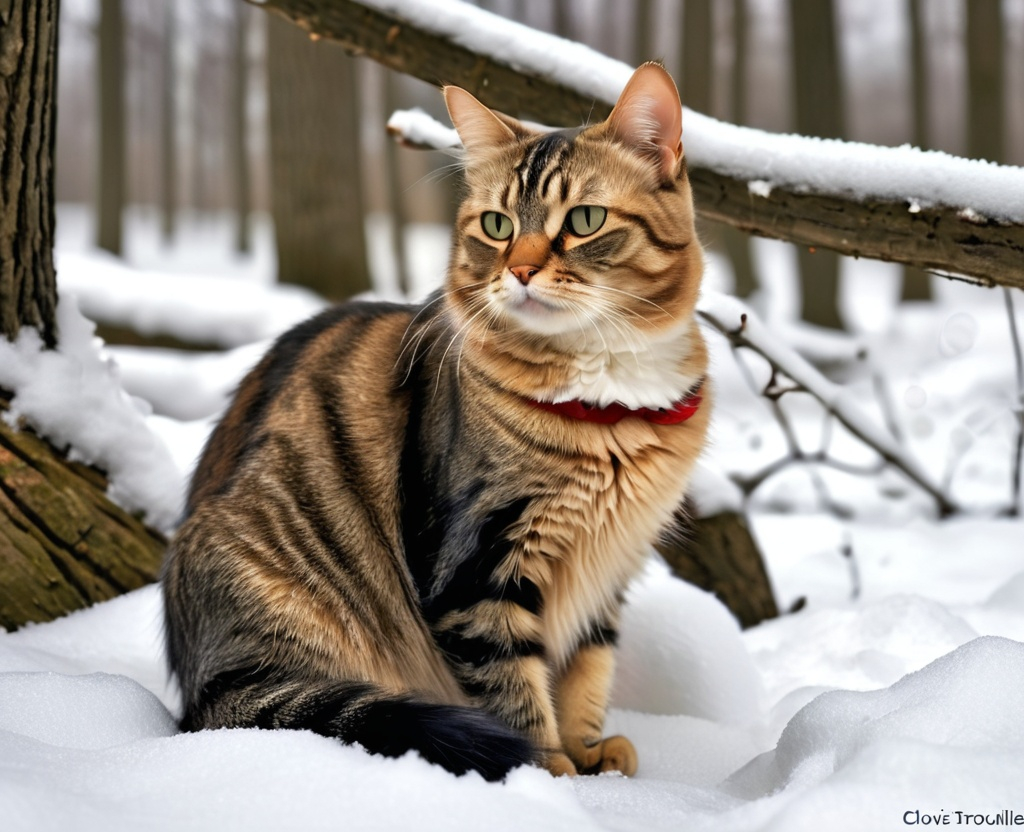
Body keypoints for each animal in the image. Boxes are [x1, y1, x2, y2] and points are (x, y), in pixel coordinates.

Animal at [165, 63, 712, 778]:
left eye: (585, 220)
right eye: (498, 225)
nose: (521, 270)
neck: (608, 404)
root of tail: (200, 690)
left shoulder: (610, 569)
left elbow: (586, 673)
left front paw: (590, 755)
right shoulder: (477, 568)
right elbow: (517, 695)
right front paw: (554, 777)